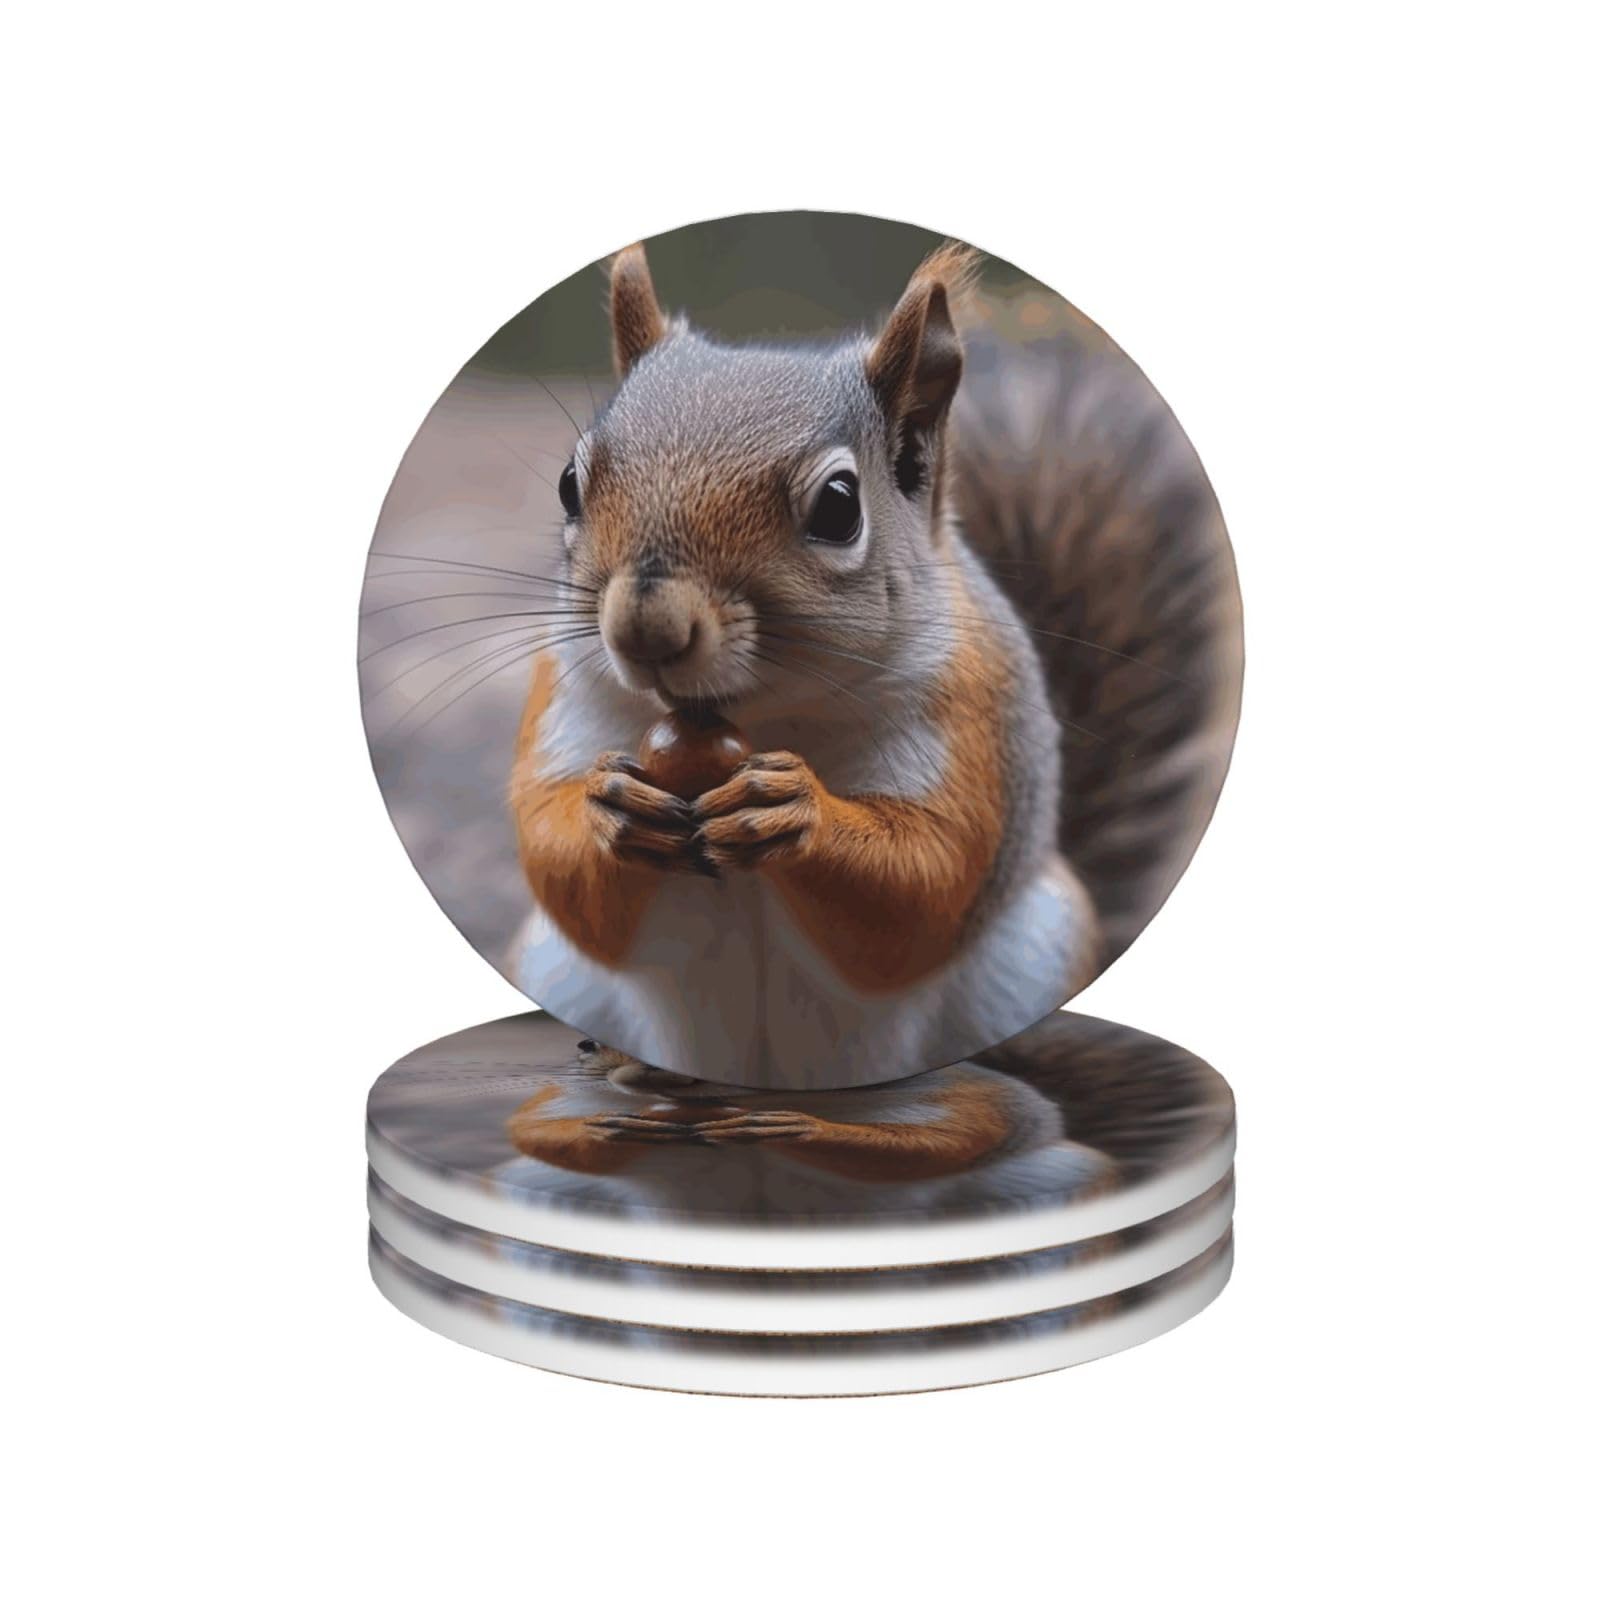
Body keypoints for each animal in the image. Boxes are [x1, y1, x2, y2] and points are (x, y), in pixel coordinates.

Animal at [501, 1038, 1113, 1215]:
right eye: (584, 1043)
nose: (642, 1076)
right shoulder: (560, 1096)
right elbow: (531, 1129)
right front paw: (609, 1127)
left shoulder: (960, 1096)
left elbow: (949, 1139)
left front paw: (797, 1128)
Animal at [508, 241, 1240, 1090]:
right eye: (570, 485)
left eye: (837, 506)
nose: (646, 629)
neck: (759, 714)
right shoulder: (567, 700)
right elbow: (554, 856)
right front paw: (611, 808)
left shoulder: (966, 716)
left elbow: (924, 882)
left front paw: (795, 811)